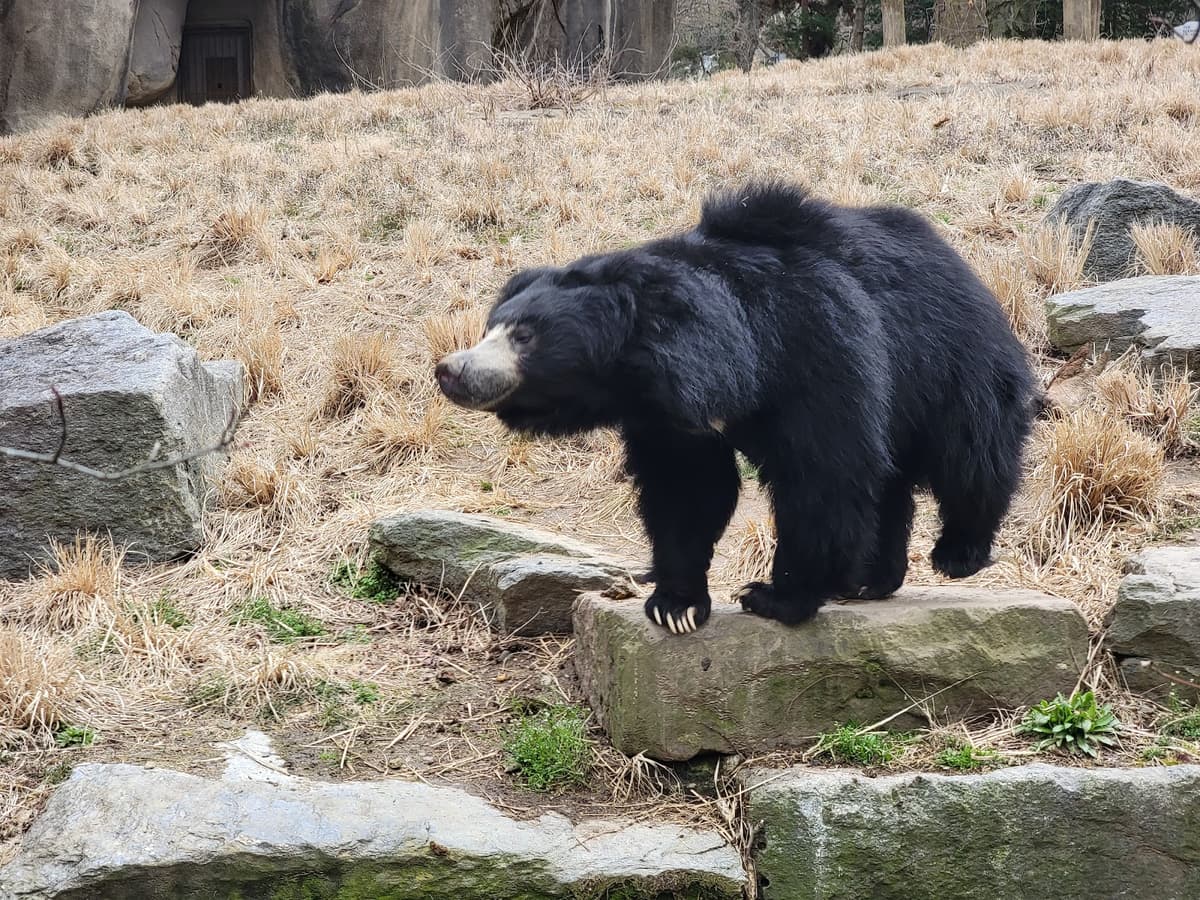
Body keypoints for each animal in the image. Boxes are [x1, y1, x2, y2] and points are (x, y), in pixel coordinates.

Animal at [435, 180, 1037, 635]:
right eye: (492, 327)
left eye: (526, 336)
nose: (450, 370)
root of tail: (955, 259)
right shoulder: (668, 416)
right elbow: (686, 488)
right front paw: (676, 606)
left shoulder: (818, 347)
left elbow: (823, 473)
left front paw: (776, 597)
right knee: (891, 481)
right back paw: (869, 579)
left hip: (949, 361)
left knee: (970, 453)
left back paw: (957, 553)